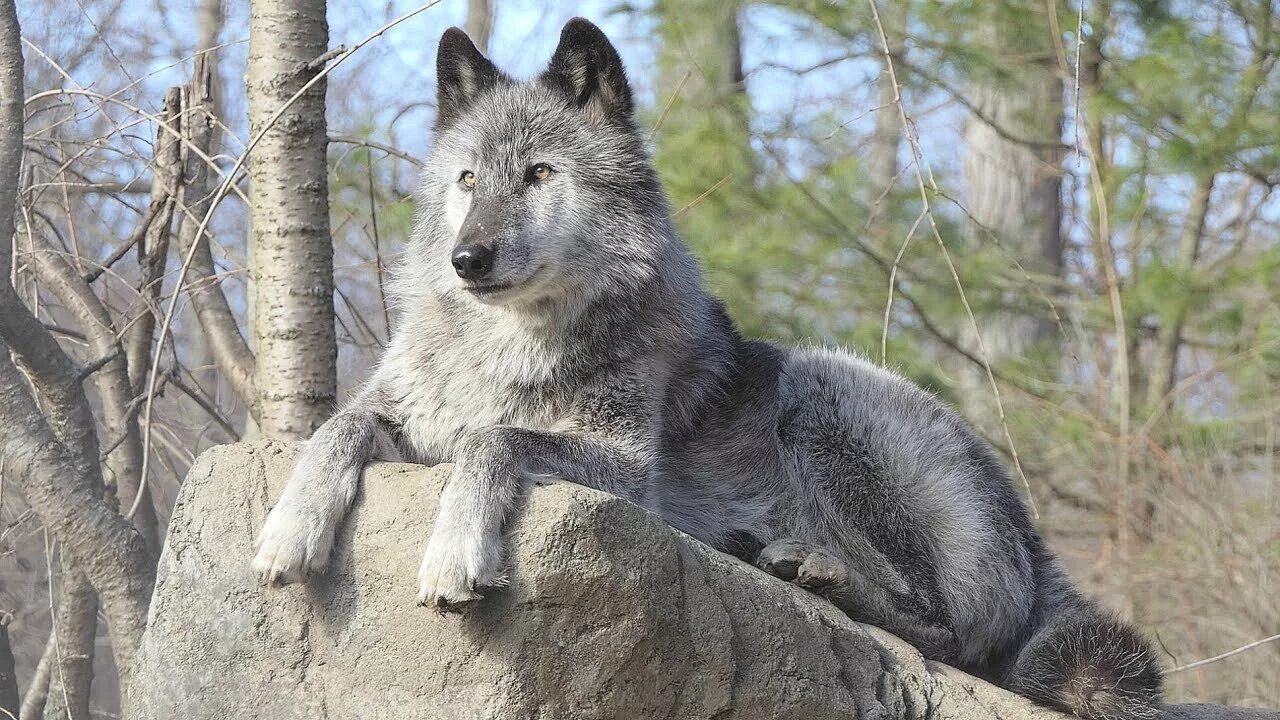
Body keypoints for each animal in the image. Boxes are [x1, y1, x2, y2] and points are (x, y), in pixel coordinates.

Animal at [254, 18, 1167, 717]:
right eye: (468, 179)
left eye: (541, 174)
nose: (466, 259)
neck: (506, 346)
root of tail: (1034, 537)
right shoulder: (404, 408)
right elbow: (336, 426)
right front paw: (289, 528)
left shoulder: (626, 468)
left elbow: (494, 439)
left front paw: (453, 552)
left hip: (821, 396)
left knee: (950, 634)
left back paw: (822, 578)